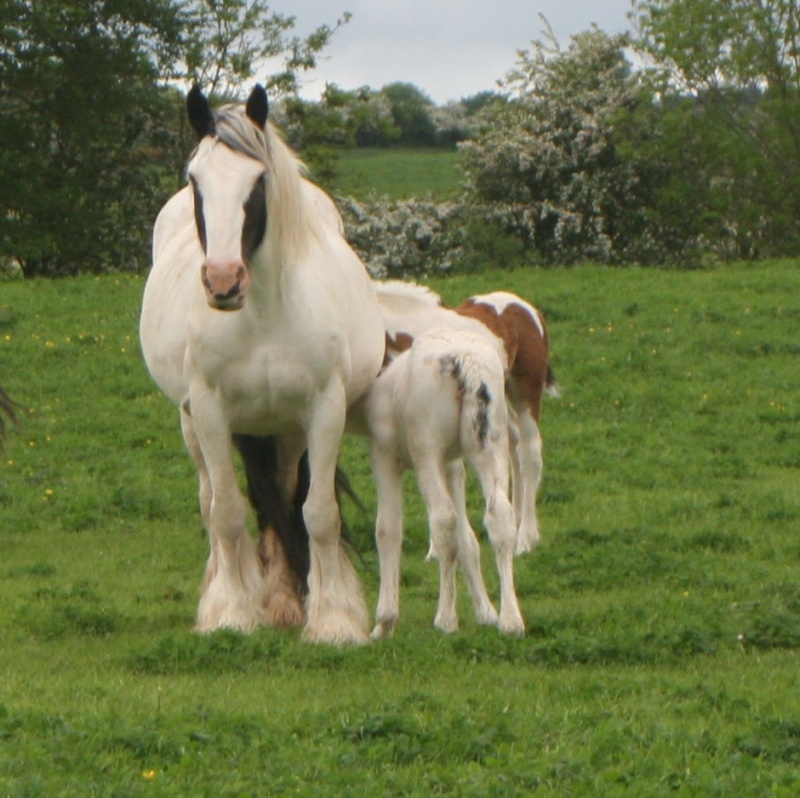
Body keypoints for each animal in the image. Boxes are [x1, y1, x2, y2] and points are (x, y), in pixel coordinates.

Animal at [140, 87, 384, 648]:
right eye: (195, 180)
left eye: (258, 181)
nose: (223, 280)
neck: (266, 314)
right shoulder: (210, 411)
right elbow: (228, 513)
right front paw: (231, 612)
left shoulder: (323, 411)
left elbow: (317, 512)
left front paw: (332, 618)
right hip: (193, 423)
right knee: (212, 500)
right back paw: (226, 591)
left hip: (286, 431)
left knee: (284, 496)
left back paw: (282, 598)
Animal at [362, 324, 524, 636]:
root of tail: (467, 362)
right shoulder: (451, 461)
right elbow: (467, 537)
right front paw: (486, 612)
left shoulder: (384, 453)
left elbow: (388, 528)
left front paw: (384, 623)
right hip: (490, 443)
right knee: (500, 515)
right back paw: (510, 620)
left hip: (426, 450)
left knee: (443, 519)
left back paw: (446, 618)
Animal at [376, 282, 556, 556]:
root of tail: (529, 309)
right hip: (495, 399)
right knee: (514, 442)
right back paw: (515, 522)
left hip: (525, 391)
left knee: (530, 452)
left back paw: (526, 538)